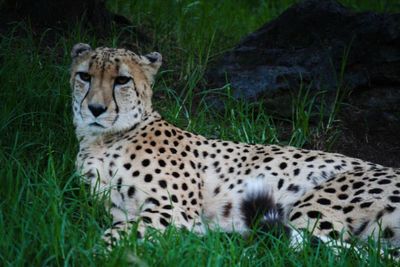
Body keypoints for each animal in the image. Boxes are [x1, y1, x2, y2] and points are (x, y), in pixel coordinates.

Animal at [70, 44, 400, 253]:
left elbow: (121, 232)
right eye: (84, 76)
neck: (102, 139)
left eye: (122, 80)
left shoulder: (176, 210)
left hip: (313, 207)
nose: (96, 109)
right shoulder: (104, 203)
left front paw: (95, 252)